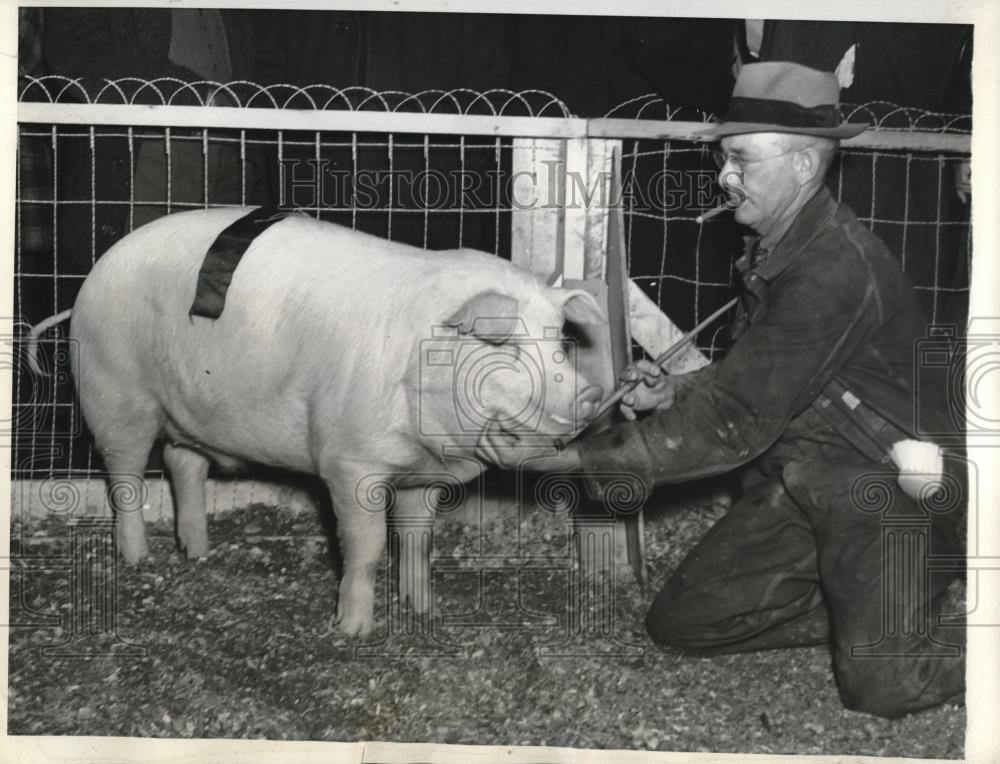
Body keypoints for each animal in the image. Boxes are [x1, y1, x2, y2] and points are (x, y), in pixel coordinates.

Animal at [37, 206, 600, 636]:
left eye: (560, 340)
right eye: (503, 345)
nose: (589, 394)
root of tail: (91, 281)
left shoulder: (422, 474)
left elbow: (417, 541)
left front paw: (426, 613)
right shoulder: (349, 461)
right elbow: (367, 546)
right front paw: (352, 631)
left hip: (189, 410)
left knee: (183, 463)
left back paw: (197, 553)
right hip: (114, 393)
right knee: (126, 480)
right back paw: (140, 561)